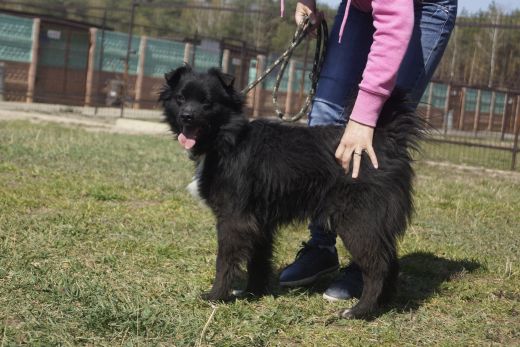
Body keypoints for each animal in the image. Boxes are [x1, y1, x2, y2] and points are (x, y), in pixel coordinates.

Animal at [160, 65, 424, 320]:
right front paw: (252, 293)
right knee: (390, 260)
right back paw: (384, 303)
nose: (186, 116)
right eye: (180, 98)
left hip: (358, 222)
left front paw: (216, 295)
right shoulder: (257, 221)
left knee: (378, 266)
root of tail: (386, 139)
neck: (229, 138)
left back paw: (360, 311)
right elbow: (259, 259)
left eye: (207, 102)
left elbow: (224, 261)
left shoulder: (234, 220)